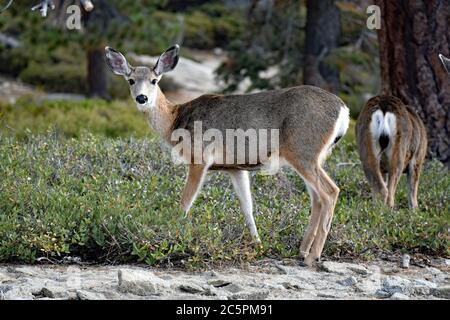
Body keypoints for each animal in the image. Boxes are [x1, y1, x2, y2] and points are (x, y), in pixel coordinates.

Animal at [106, 45, 352, 264]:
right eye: (130, 80)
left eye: (154, 81)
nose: (142, 98)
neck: (175, 120)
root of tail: (344, 110)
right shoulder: (235, 168)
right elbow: (247, 208)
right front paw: (258, 245)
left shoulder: (200, 158)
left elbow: (185, 203)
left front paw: (171, 237)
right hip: (312, 156)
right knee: (317, 198)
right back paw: (302, 250)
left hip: (303, 151)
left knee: (330, 192)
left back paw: (312, 256)